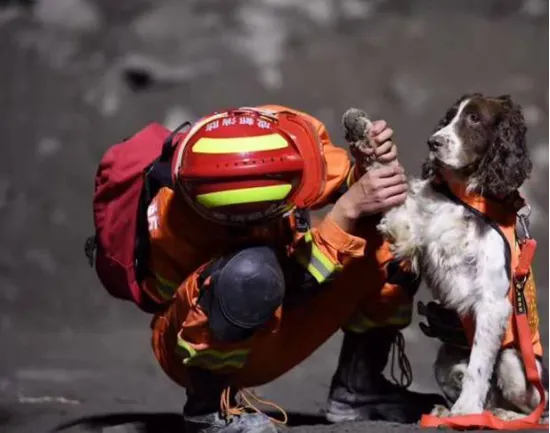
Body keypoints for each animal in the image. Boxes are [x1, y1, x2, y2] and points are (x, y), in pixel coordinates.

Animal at [348, 93, 548, 418]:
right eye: (450, 116)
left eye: (475, 119)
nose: (433, 142)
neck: (466, 199)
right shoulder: (410, 231)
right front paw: (362, 130)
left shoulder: (492, 304)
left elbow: (479, 366)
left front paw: (464, 411)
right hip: (445, 359)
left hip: (515, 367)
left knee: (537, 408)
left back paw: (501, 415)